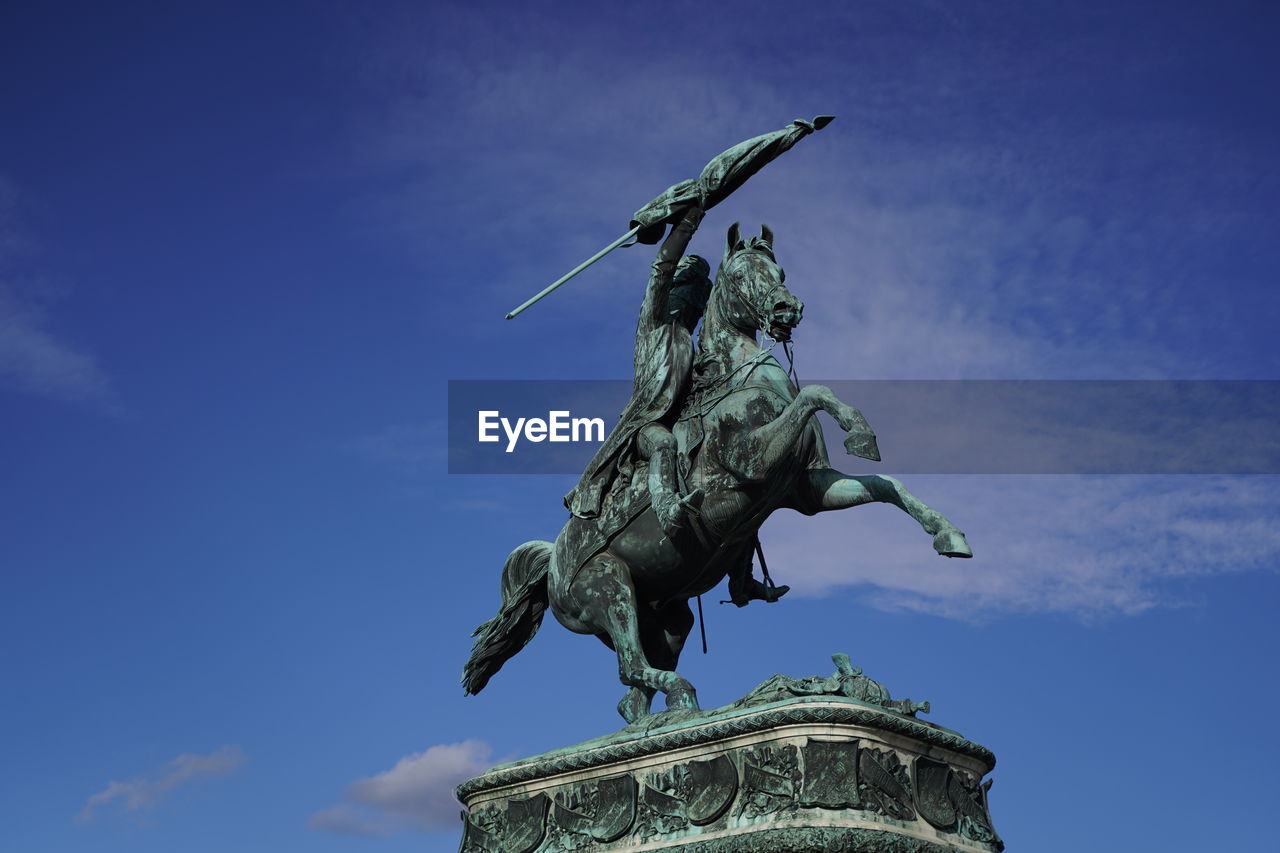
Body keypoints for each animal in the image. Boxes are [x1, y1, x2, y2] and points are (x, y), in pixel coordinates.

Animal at [463, 222, 967, 722]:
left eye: (780, 271)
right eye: (741, 275)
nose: (788, 308)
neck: (743, 380)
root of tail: (552, 564)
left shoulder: (809, 489)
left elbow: (886, 485)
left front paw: (948, 534)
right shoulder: (752, 462)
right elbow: (815, 394)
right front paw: (859, 430)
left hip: (668, 620)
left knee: (632, 696)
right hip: (608, 590)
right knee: (630, 667)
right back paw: (684, 692)